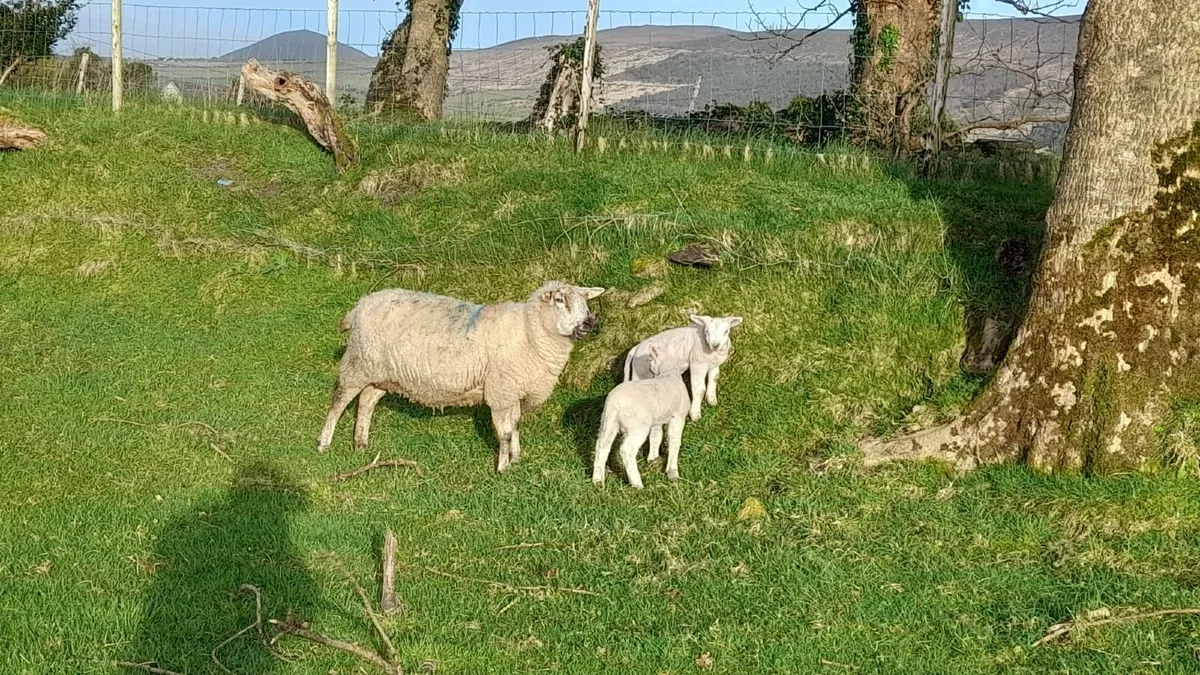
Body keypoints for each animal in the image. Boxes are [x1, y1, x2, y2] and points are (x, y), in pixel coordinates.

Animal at [317, 281, 606, 473]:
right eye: (560, 300)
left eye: (585, 301)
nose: (589, 323)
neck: (529, 332)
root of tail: (359, 305)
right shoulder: (501, 391)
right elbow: (504, 433)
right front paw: (503, 469)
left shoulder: (512, 392)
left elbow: (515, 427)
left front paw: (516, 458)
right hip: (357, 363)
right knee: (338, 402)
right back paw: (324, 443)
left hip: (381, 373)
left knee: (366, 401)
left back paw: (361, 442)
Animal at [593, 345, 689, 489]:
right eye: (649, 359)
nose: (649, 368)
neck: (668, 373)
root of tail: (615, 403)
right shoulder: (678, 416)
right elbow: (674, 441)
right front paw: (672, 472)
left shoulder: (656, 419)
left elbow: (656, 436)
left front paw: (653, 458)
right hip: (637, 427)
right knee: (626, 450)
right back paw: (637, 483)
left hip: (608, 421)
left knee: (601, 446)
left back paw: (598, 480)